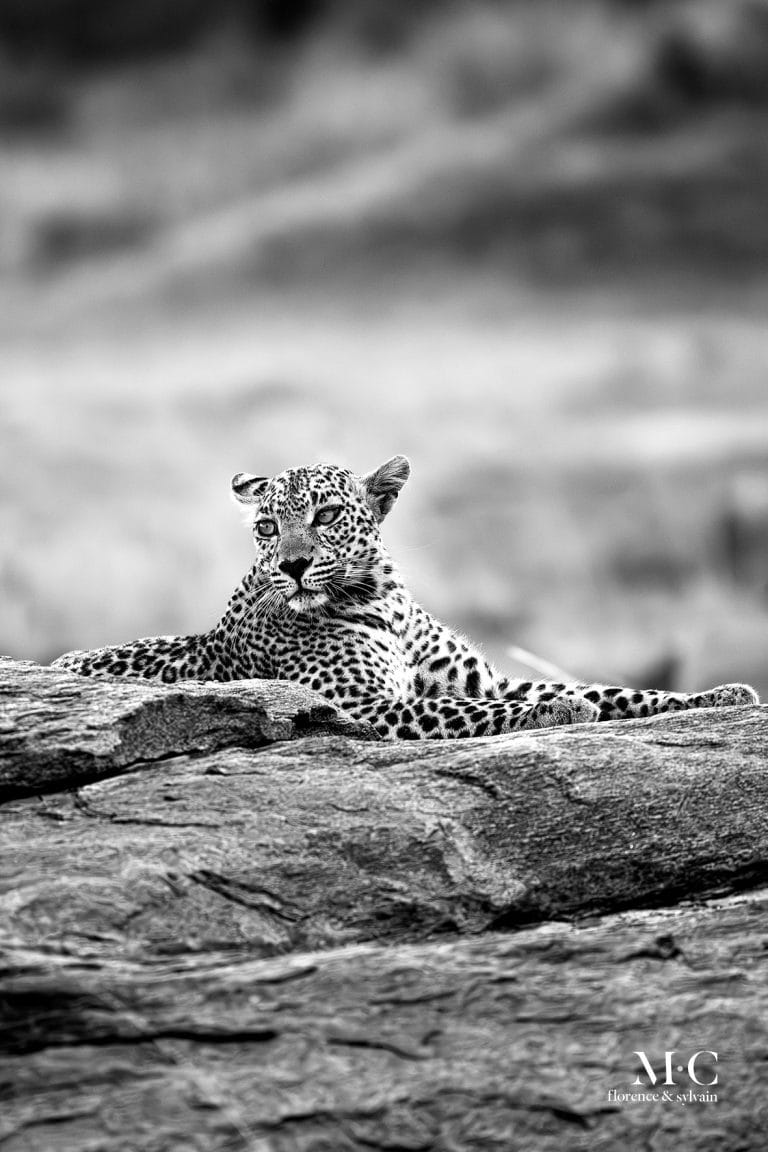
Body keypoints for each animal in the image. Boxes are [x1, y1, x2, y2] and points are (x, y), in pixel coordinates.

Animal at [52, 455, 759, 739]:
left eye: (327, 515)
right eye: (267, 527)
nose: (294, 565)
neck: (380, 602)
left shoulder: (489, 679)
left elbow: (614, 690)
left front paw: (715, 697)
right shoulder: (363, 706)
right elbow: (469, 712)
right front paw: (554, 714)